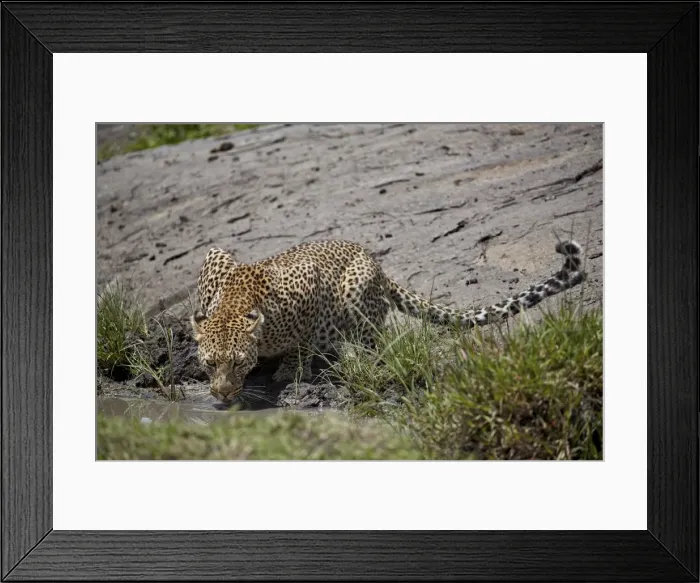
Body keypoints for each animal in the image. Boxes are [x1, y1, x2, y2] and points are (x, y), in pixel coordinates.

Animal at [190, 238, 585, 404]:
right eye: (210, 364)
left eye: (238, 363)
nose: (222, 394)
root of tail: (377, 265)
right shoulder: (214, 258)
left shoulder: (308, 281)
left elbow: (301, 340)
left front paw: (289, 369)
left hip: (356, 291)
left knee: (374, 345)